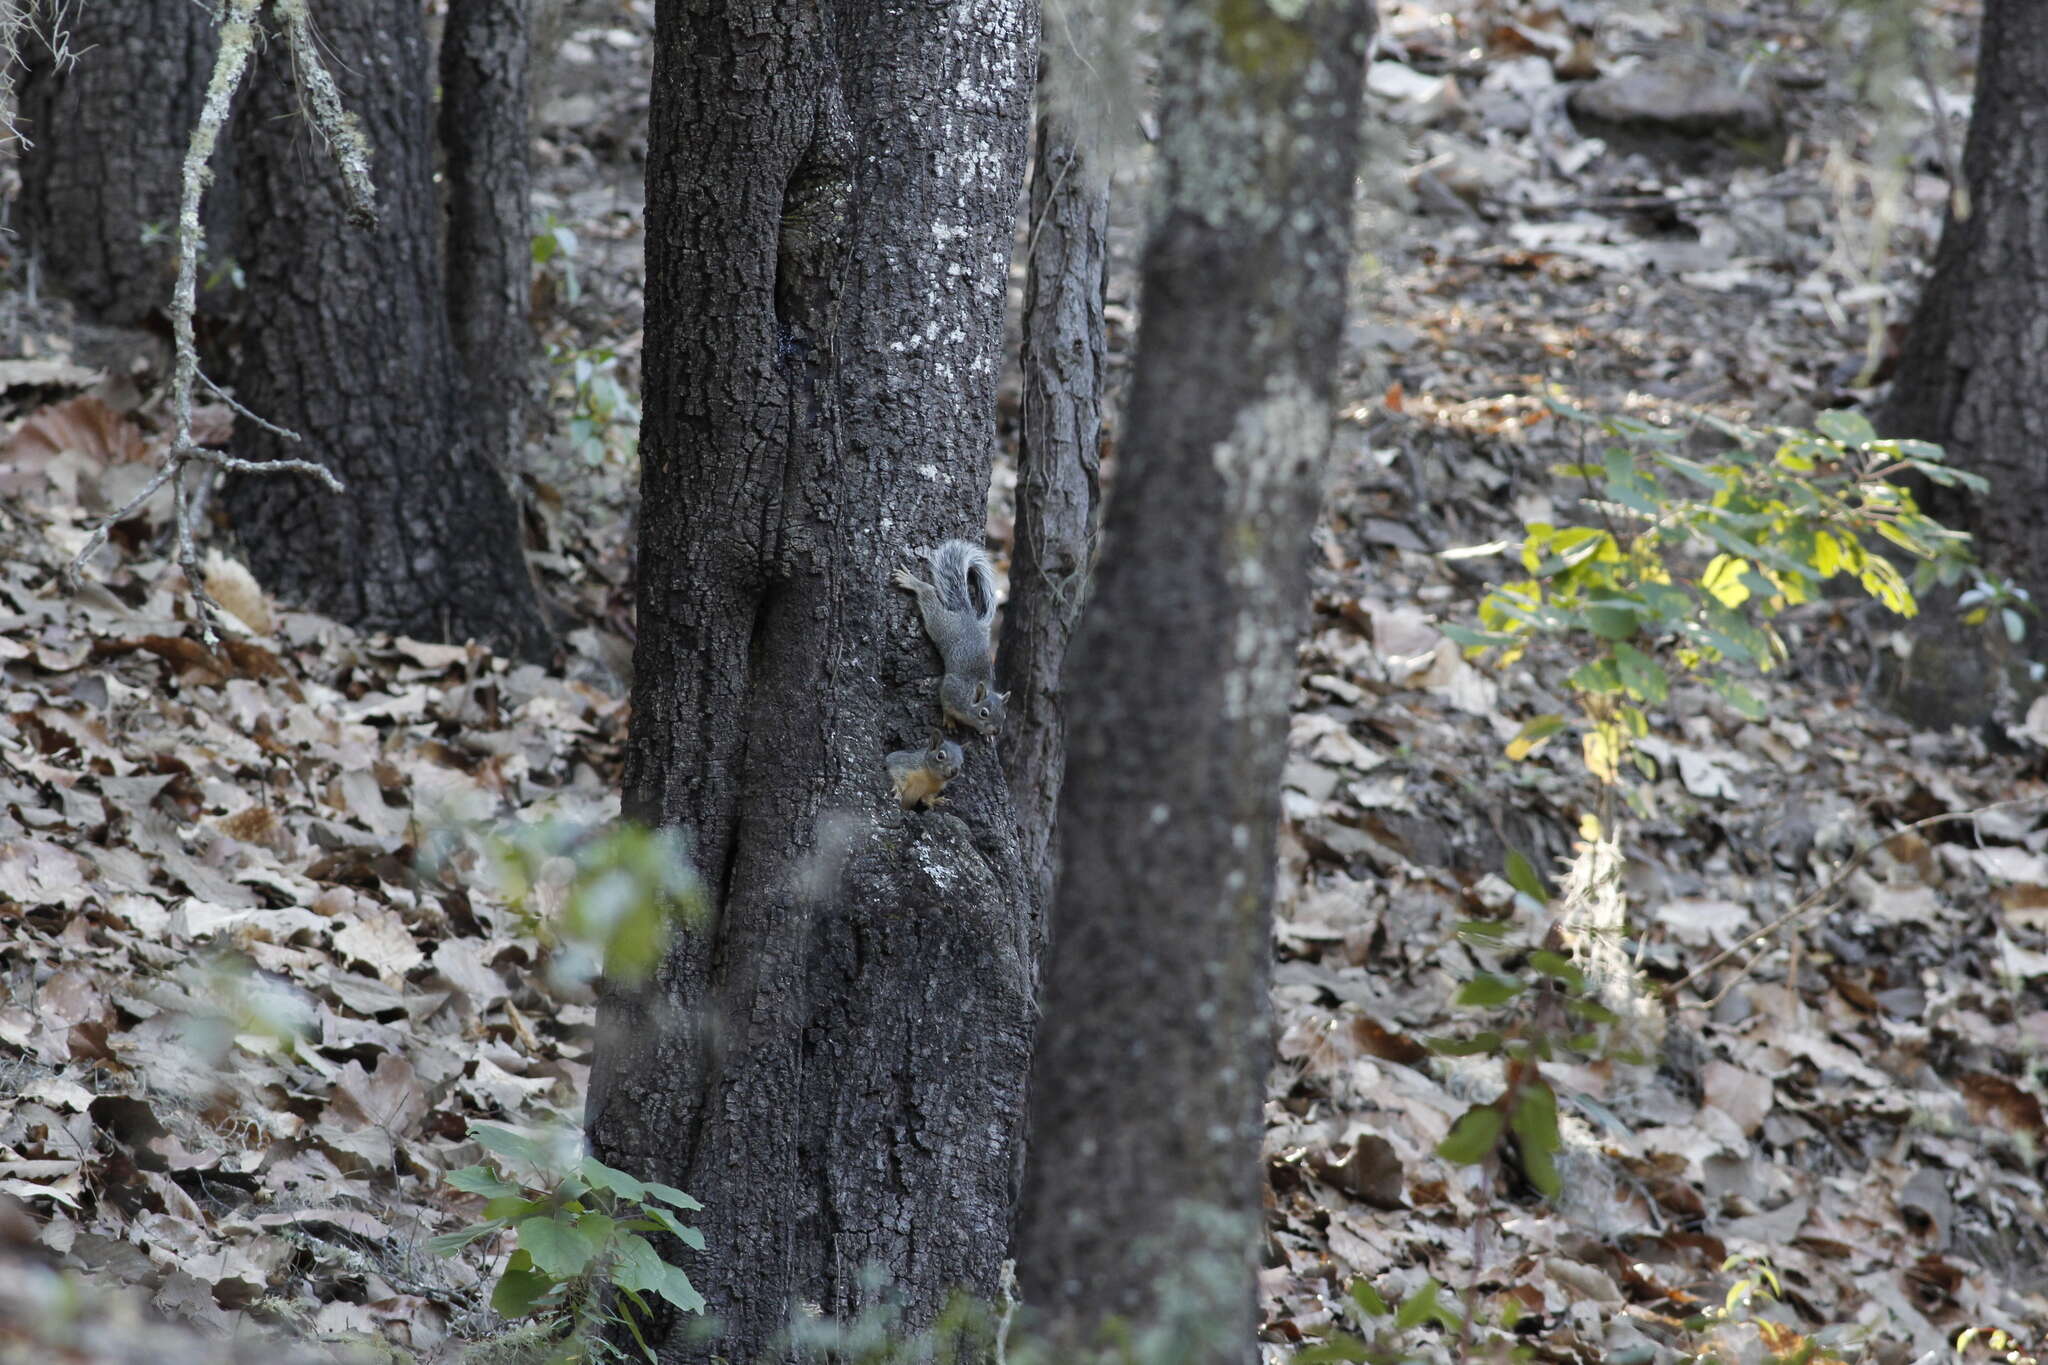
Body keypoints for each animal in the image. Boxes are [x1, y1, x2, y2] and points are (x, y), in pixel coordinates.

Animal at [888, 540, 1007, 736]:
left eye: (1004, 715)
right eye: (983, 713)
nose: (997, 731)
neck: (969, 696)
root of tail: (967, 615)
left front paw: (987, 737)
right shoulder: (951, 689)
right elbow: (943, 700)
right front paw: (950, 720)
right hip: (941, 624)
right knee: (929, 594)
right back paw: (913, 582)